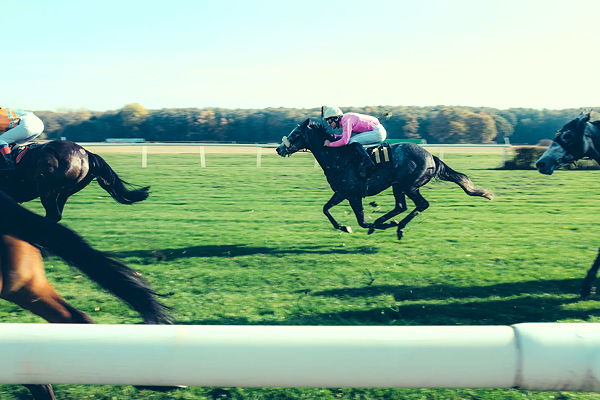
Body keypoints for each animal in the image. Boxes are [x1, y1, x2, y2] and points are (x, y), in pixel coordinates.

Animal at [276, 117, 492, 239]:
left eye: (296, 133)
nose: (279, 149)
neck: (337, 157)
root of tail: (431, 156)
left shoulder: (353, 195)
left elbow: (362, 221)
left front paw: (374, 226)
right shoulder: (341, 192)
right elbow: (326, 209)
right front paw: (344, 227)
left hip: (409, 185)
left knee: (421, 205)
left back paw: (397, 227)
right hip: (398, 186)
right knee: (401, 206)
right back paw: (389, 223)